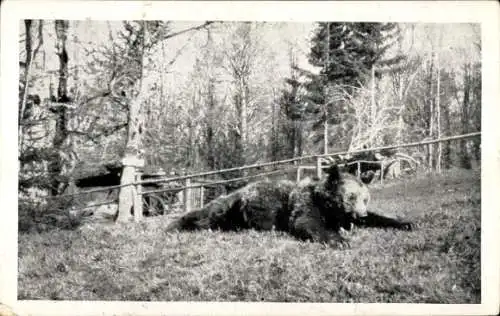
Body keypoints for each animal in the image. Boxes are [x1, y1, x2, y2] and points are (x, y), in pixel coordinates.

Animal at [166, 164, 412, 248]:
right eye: (350, 197)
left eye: (365, 198)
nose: (360, 215)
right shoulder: (305, 205)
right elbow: (307, 223)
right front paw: (339, 240)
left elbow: (379, 217)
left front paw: (405, 223)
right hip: (232, 207)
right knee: (206, 216)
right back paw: (176, 225)